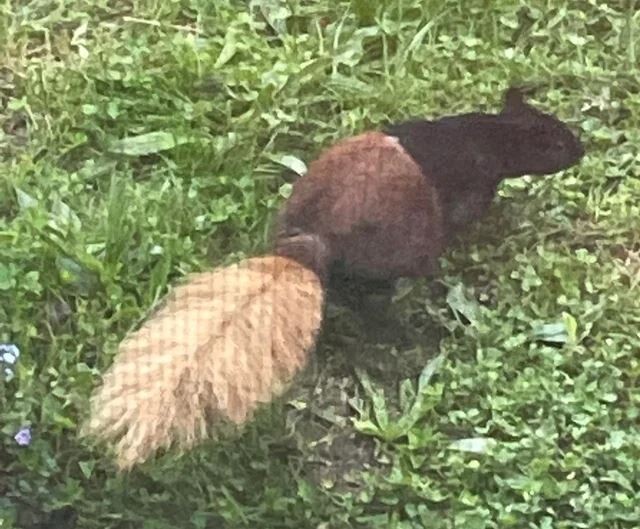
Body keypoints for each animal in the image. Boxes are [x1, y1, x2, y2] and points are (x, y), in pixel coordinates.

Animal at [82, 86, 588, 470]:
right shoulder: (473, 187)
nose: (582, 149)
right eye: (557, 141)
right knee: (371, 305)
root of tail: (309, 250)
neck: (487, 134)